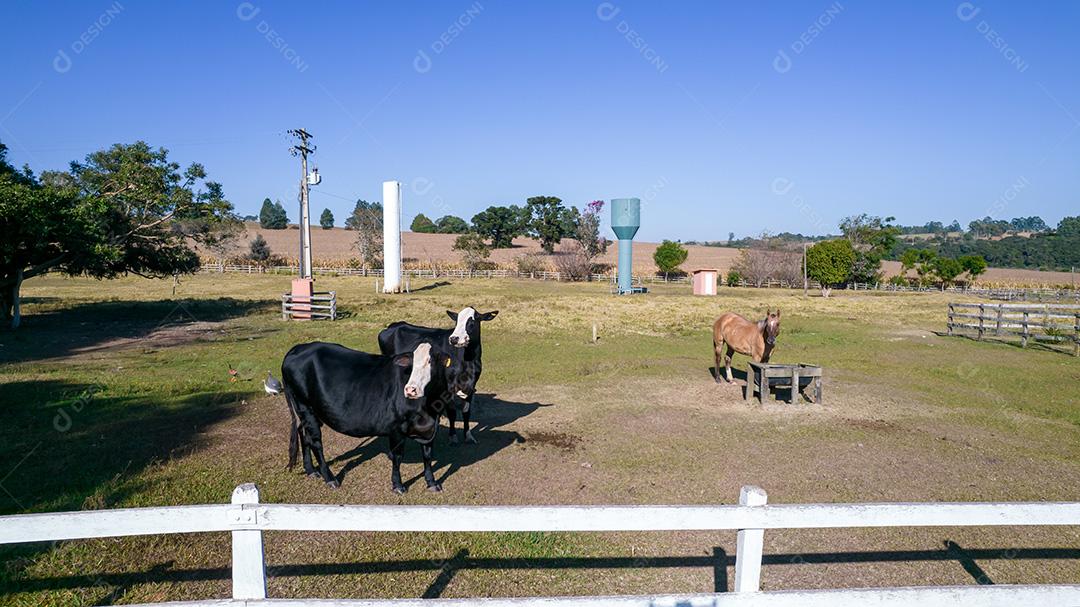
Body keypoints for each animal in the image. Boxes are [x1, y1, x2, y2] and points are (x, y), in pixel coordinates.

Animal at [281, 341, 452, 494]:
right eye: (411, 365)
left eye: (430, 361)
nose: (410, 390)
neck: (428, 409)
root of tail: (299, 347)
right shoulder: (396, 429)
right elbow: (397, 457)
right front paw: (398, 485)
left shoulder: (430, 428)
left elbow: (428, 456)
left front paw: (432, 483)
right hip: (305, 407)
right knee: (315, 443)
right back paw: (330, 478)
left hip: (307, 412)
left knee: (304, 435)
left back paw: (310, 470)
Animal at [378, 306, 498, 445]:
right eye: (456, 321)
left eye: (472, 321)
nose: (454, 338)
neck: (468, 360)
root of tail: (395, 325)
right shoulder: (449, 387)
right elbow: (452, 413)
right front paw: (453, 437)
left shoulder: (471, 386)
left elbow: (466, 412)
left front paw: (468, 436)